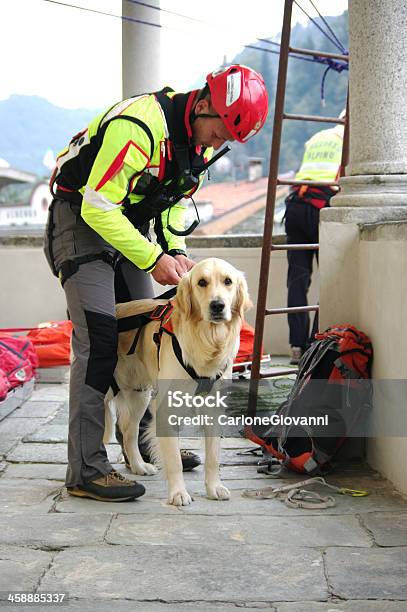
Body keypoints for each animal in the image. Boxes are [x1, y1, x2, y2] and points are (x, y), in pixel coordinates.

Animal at [105, 256, 252, 504]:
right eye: (202, 282)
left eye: (228, 281)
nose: (217, 305)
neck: (207, 340)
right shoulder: (166, 409)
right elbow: (173, 460)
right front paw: (178, 493)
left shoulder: (214, 408)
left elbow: (213, 456)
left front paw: (214, 487)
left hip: (139, 394)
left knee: (129, 431)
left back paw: (139, 466)